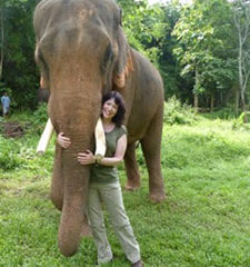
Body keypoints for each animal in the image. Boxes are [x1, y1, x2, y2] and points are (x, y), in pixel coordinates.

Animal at [33, 0, 166, 258]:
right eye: (40, 57)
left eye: (108, 55)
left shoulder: (126, 82)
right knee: (130, 147)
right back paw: (131, 189)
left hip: (158, 101)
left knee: (151, 146)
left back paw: (156, 200)